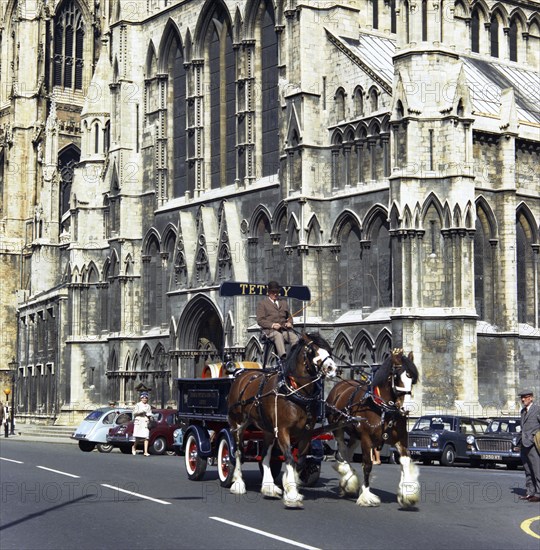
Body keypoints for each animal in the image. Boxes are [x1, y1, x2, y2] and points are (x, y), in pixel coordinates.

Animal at [226, 332, 336, 508]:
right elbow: (290, 457)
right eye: (311, 350)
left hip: (268, 430)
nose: (332, 368)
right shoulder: (283, 430)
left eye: (328, 348)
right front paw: (291, 494)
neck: (294, 390)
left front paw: (291, 484)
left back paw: (268, 487)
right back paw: (238, 483)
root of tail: (241, 374)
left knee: (265, 454)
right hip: (237, 424)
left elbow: (300, 460)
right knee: (237, 452)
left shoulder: (306, 432)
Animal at [326, 350, 420, 508]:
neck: (383, 409)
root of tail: (340, 385)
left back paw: (348, 481)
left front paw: (408, 494)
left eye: (412, 379)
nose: (405, 408)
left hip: (354, 435)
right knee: (343, 450)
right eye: (396, 376)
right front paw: (366, 496)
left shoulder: (400, 440)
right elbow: (368, 465)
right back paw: (348, 477)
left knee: (349, 452)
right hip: (338, 429)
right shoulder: (366, 439)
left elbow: (405, 460)